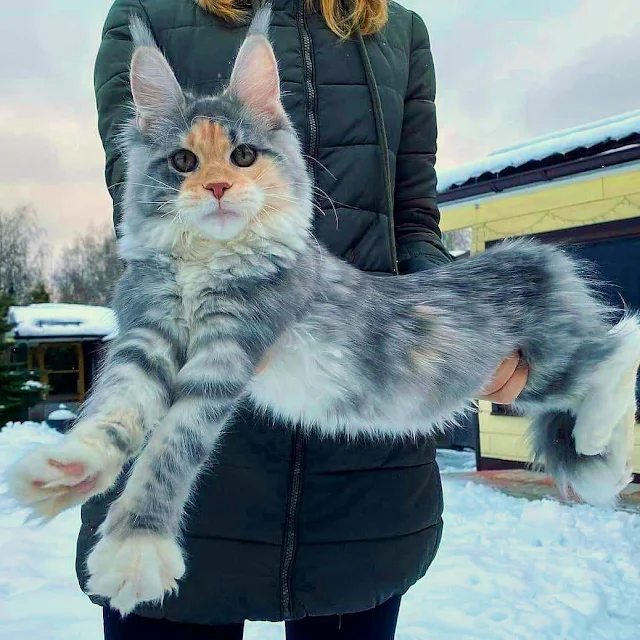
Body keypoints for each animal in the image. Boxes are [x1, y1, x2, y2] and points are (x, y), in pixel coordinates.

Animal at [6, 6, 640, 616]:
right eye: (183, 162)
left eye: (242, 155)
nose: (216, 188)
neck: (204, 263)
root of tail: (534, 256)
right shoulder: (146, 335)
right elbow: (113, 414)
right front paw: (65, 470)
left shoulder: (227, 355)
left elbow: (171, 448)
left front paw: (135, 549)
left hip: (544, 360)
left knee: (617, 349)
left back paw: (595, 439)